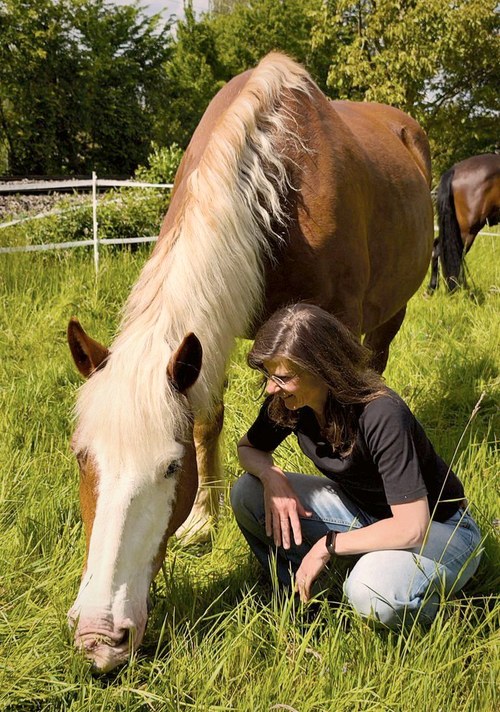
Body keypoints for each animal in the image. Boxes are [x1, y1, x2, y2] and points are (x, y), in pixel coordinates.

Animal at [66, 52, 433, 671]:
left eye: (170, 468)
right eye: (80, 458)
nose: (99, 636)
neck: (280, 186)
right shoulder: (208, 342)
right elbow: (208, 420)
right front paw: (202, 523)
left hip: (392, 311)